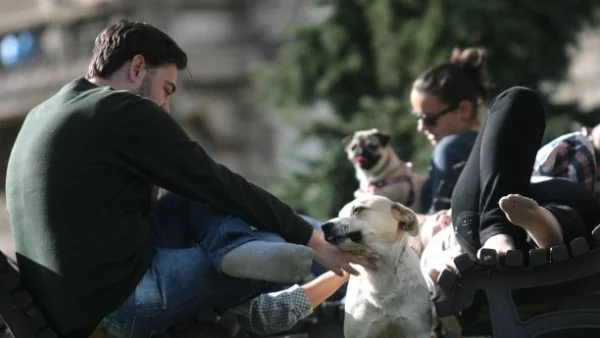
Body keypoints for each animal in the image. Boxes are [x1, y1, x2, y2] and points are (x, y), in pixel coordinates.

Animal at [324, 195, 432, 338]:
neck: (382, 271)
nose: (324, 226)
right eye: (339, 214)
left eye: (358, 210)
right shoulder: (360, 330)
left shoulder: (416, 329)